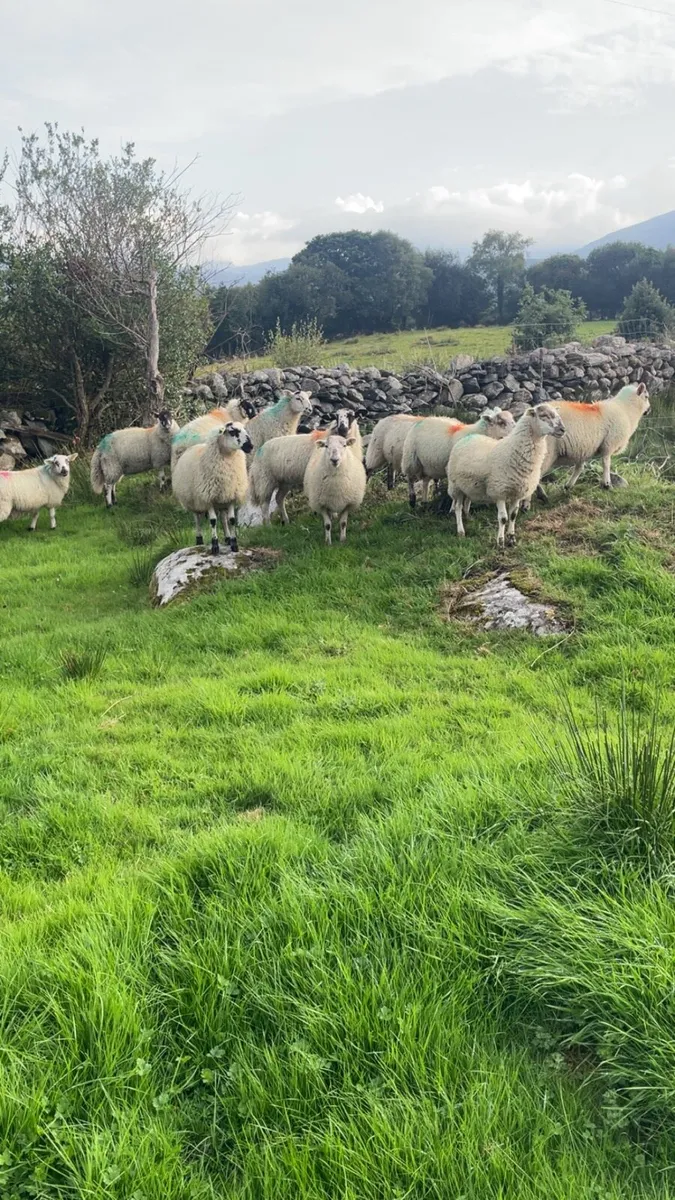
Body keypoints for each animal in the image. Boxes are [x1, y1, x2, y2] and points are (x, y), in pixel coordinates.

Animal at [171, 421, 253, 554]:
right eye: (232, 432)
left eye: (244, 429)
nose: (250, 446)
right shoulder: (207, 498)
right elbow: (213, 521)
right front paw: (215, 546)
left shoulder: (230, 495)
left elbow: (231, 520)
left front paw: (234, 543)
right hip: (194, 501)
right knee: (197, 519)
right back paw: (199, 540)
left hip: (221, 500)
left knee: (223, 518)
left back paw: (227, 538)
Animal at [447, 403, 566, 548]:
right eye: (544, 416)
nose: (562, 429)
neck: (513, 450)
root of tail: (468, 437)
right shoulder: (499, 491)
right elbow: (503, 518)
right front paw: (501, 542)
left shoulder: (517, 492)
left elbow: (513, 515)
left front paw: (512, 538)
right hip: (455, 486)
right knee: (457, 507)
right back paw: (461, 531)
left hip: (468, 486)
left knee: (466, 502)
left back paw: (468, 518)